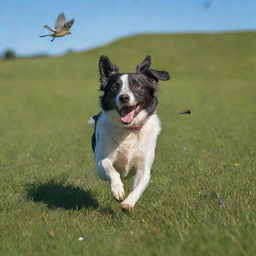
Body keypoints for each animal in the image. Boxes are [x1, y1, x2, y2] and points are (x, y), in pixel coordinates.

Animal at [89, 55, 171, 211]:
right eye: (115, 87)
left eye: (137, 86)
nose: (124, 97)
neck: (129, 130)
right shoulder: (100, 164)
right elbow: (111, 169)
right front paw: (118, 190)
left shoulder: (144, 168)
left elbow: (138, 187)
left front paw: (128, 203)